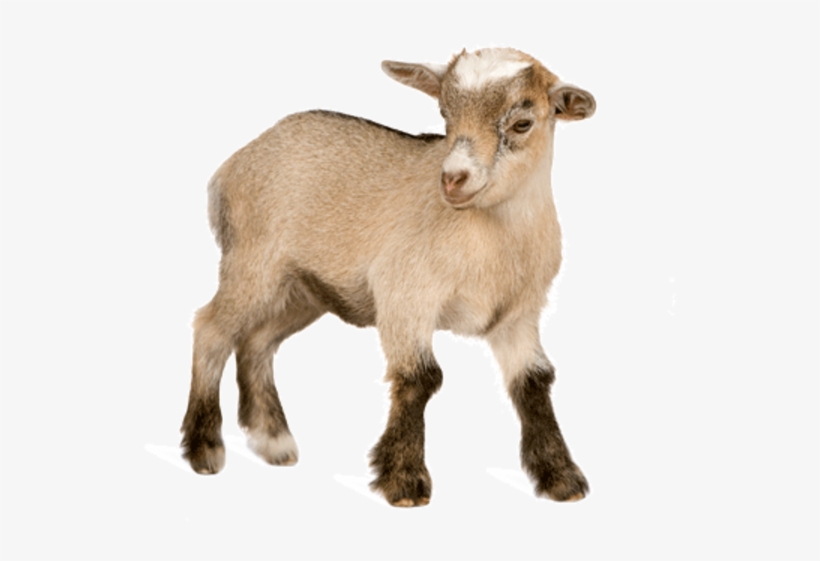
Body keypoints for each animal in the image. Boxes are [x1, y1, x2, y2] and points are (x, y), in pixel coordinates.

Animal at [181, 47, 596, 507]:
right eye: (444, 114)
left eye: (522, 123)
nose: (453, 180)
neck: (491, 238)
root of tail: (233, 165)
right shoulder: (404, 296)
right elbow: (421, 377)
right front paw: (404, 480)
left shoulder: (519, 315)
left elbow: (533, 381)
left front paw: (561, 478)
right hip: (253, 264)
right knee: (212, 328)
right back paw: (204, 448)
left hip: (303, 291)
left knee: (257, 342)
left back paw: (274, 441)